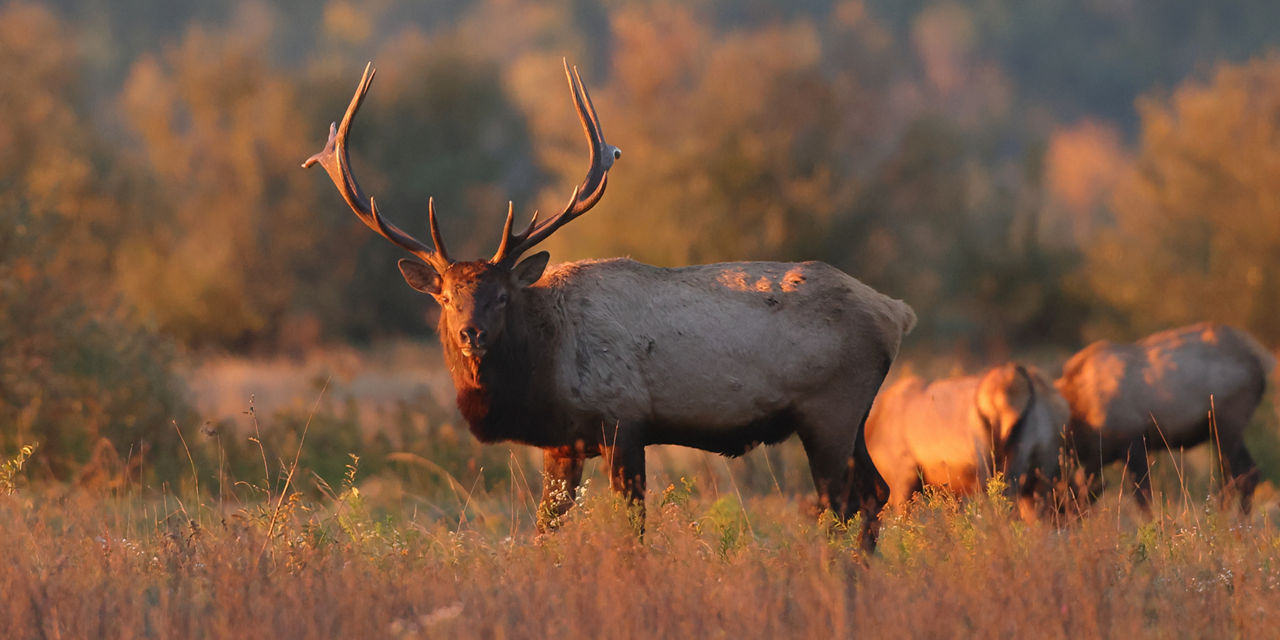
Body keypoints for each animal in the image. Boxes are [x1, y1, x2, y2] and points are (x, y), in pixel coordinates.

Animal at [304, 61, 916, 550]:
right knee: (876, 493)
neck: (542, 368)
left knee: (845, 503)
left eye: (502, 295)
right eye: (447, 297)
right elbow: (543, 528)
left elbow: (631, 529)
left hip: (830, 409)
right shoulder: (564, 443)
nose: (470, 334)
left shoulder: (625, 419)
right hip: (850, 416)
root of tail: (896, 312)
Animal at [1054, 322, 1274, 512]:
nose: (1059, 524)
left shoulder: (1134, 445)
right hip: (1223, 432)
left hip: (1226, 427)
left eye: (1058, 504)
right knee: (1246, 474)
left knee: (1240, 475)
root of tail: (1260, 362)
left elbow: (1144, 498)